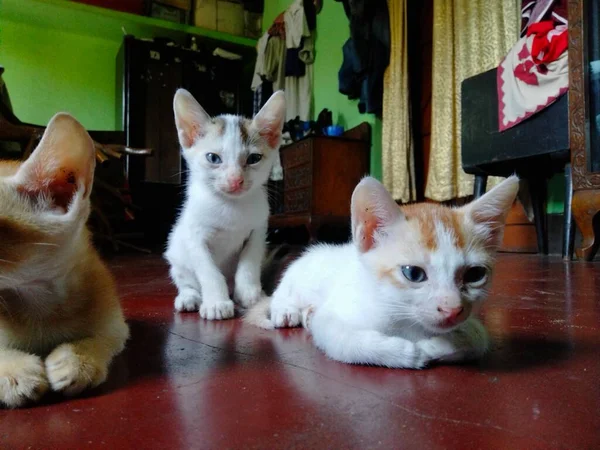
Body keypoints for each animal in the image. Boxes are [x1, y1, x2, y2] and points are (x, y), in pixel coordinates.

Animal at [164, 89, 286, 320]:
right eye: (213, 158)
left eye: (254, 158)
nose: (235, 180)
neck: (231, 207)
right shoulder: (195, 236)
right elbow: (209, 271)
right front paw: (216, 303)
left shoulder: (258, 230)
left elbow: (249, 261)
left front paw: (248, 292)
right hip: (176, 251)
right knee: (185, 278)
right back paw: (189, 297)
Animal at [246, 174, 516, 368]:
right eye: (413, 273)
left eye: (475, 275)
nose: (452, 309)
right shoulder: (334, 318)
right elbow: (347, 341)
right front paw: (409, 352)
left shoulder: (470, 323)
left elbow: (478, 339)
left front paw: (437, 346)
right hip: (297, 277)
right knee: (281, 295)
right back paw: (287, 310)